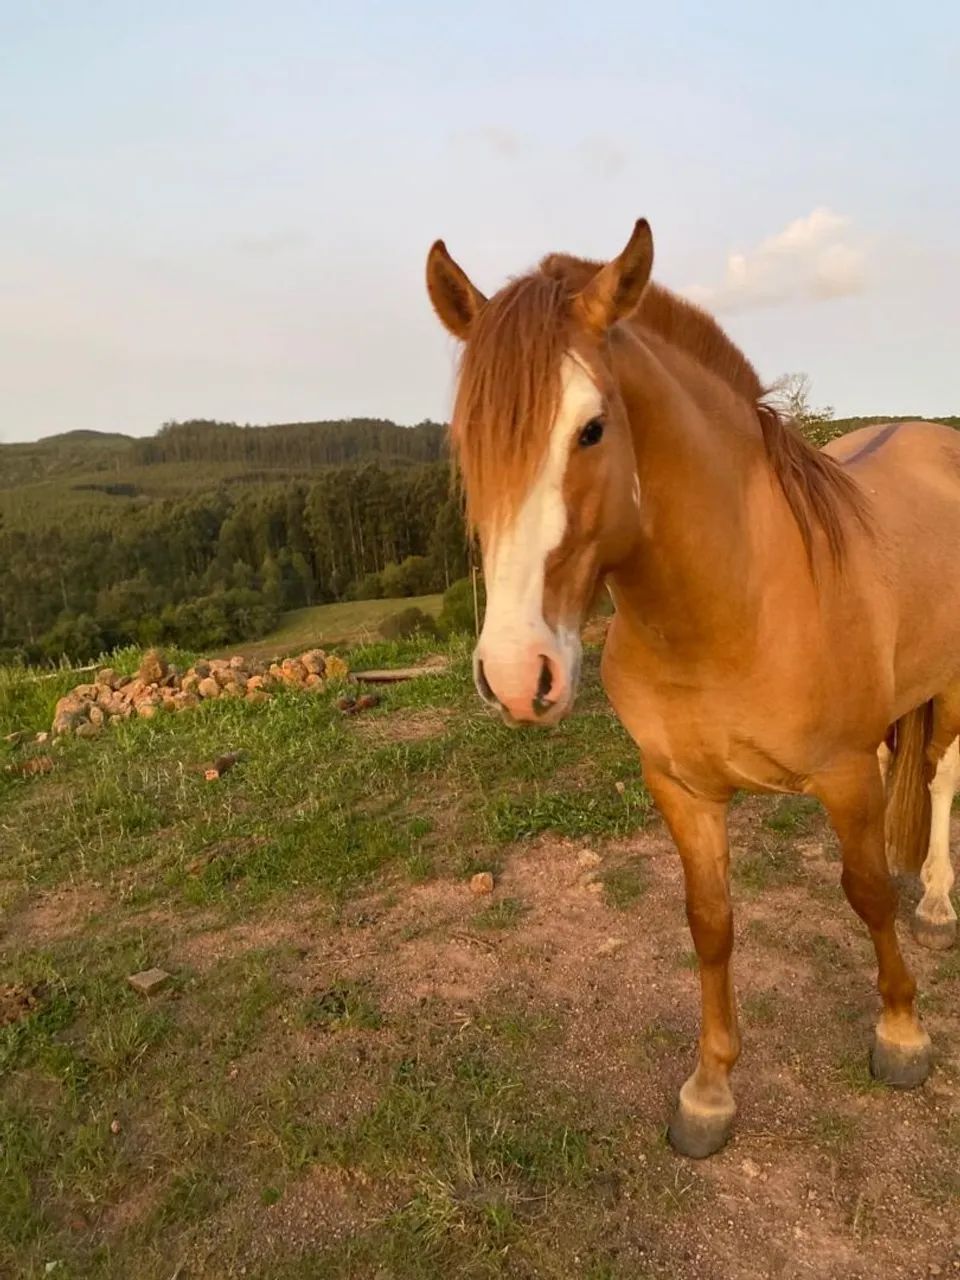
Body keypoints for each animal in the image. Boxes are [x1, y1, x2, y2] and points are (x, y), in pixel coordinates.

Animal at [425, 219, 960, 1158]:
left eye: (592, 429)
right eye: (467, 439)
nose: (518, 676)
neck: (735, 608)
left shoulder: (842, 775)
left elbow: (863, 895)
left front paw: (901, 1034)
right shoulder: (681, 788)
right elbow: (709, 924)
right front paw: (709, 1093)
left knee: (940, 779)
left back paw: (935, 900)